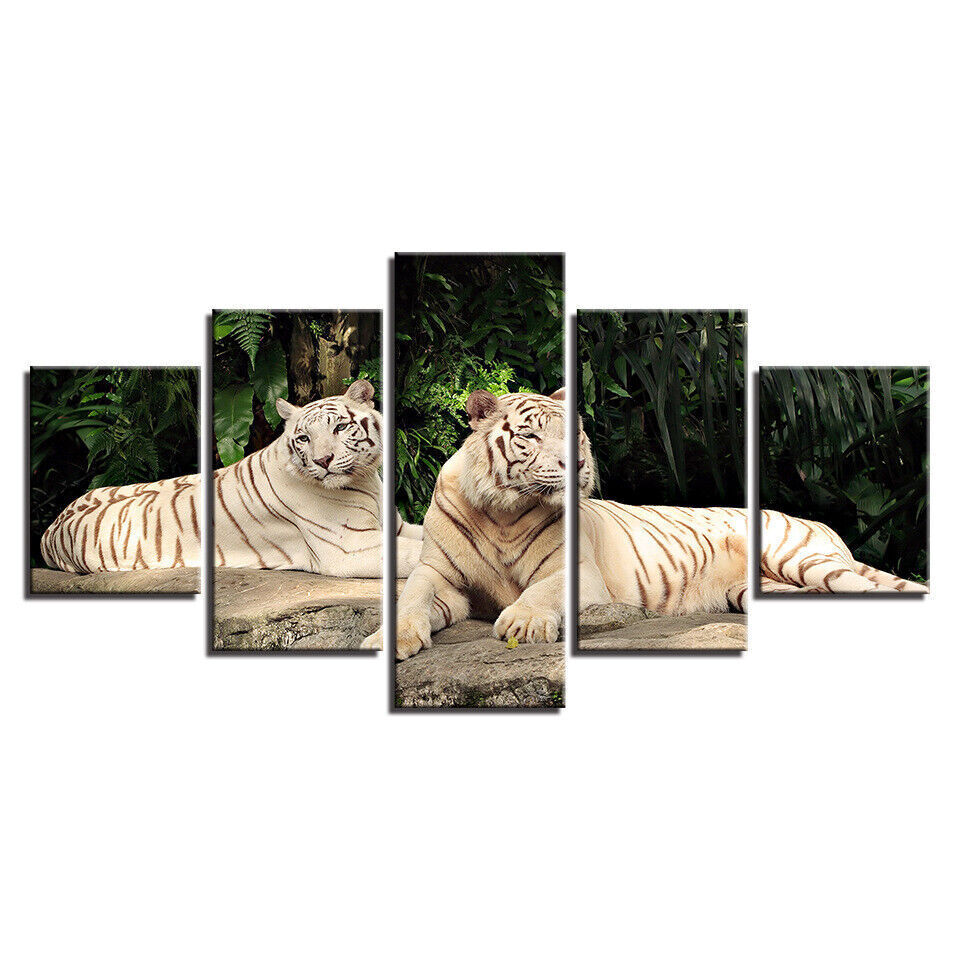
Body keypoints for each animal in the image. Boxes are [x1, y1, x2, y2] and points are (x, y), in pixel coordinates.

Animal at [41, 380, 423, 579]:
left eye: (340, 427)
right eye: (303, 438)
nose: (322, 461)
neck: (365, 479)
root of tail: (50, 528)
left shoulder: (397, 527)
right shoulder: (349, 547)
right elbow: (416, 554)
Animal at [362, 388, 567, 659]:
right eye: (530, 436)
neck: (502, 511)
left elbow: (549, 587)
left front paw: (528, 624)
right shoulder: (437, 570)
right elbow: (413, 595)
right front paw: (391, 639)